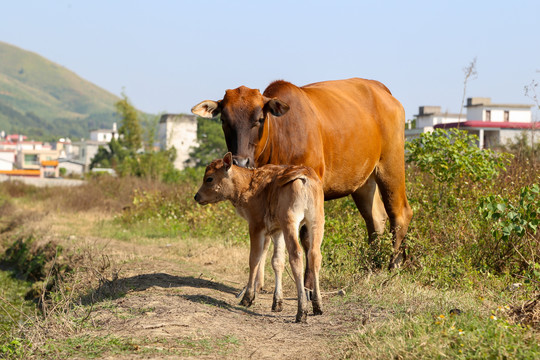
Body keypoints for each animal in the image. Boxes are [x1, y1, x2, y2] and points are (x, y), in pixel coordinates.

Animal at [194, 77, 414, 286]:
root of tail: (382, 90)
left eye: (259, 118)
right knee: (375, 219)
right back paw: (372, 268)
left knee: (399, 213)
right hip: (363, 181)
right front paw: (258, 284)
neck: (281, 137)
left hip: (391, 165)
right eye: (224, 119)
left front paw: (308, 284)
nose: (241, 162)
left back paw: (393, 267)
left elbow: (307, 238)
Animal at [195, 153, 324, 324]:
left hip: (291, 222)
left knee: (296, 254)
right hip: (316, 221)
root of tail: (304, 176)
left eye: (209, 178)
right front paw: (277, 303)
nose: (196, 196)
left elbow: (254, 259)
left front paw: (248, 297)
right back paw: (318, 305)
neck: (247, 184)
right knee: (314, 254)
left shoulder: (256, 226)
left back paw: (301, 311)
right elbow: (277, 261)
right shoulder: (277, 230)